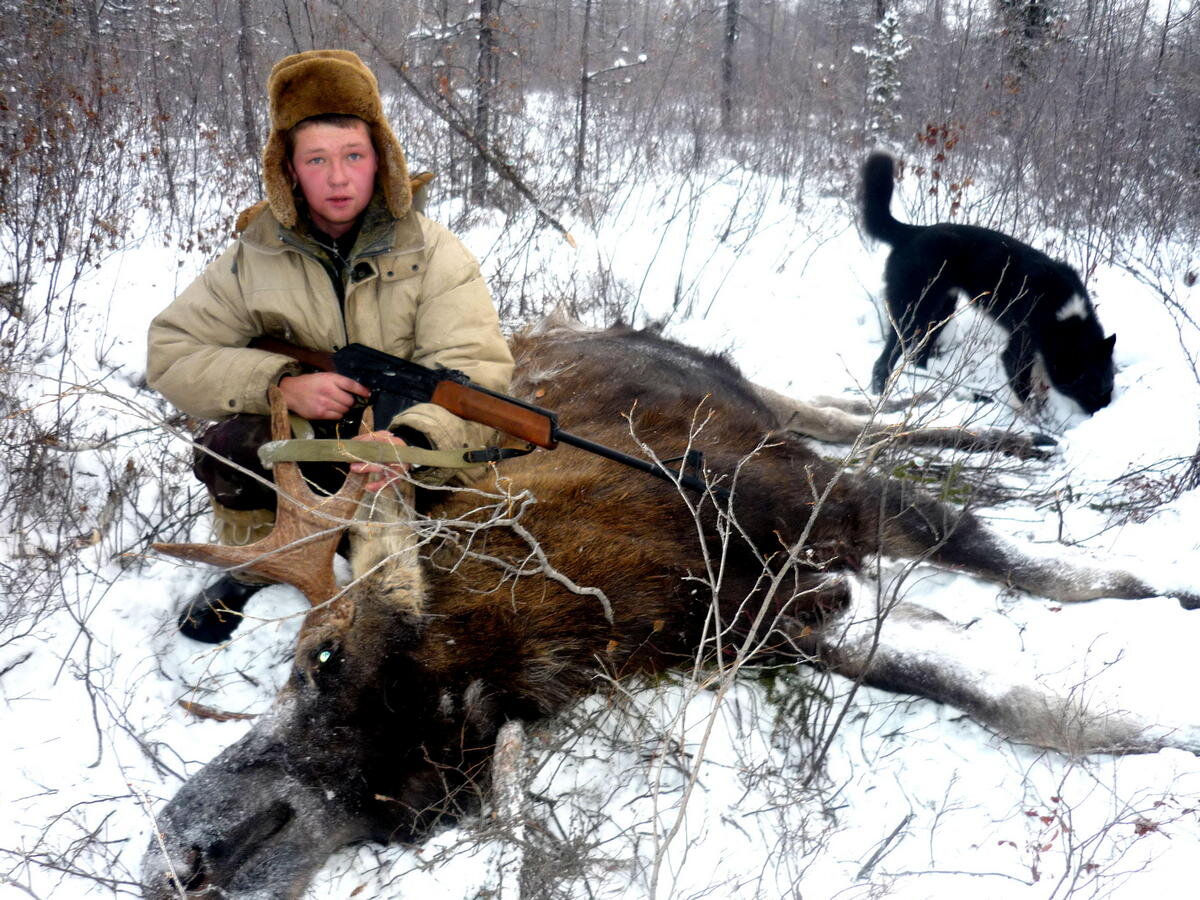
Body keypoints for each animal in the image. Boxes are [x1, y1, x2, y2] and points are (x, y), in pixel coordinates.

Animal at [142, 321, 1200, 900]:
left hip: (735, 393)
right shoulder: (771, 625)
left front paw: (1164, 597)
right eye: (406, 818)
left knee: (840, 413)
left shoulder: (814, 503)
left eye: (320, 657)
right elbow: (994, 696)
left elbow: (1036, 573)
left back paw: (1007, 437)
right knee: (843, 412)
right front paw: (1150, 730)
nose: (183, 860)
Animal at [864, 154, 1113, 415]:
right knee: (888, 355)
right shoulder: (1019, 347)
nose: (1104, 412)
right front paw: (1035, 412)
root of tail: (913, 232)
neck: (1063, 314)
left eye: (1109, 386)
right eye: (1091, 391)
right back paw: (881, 388)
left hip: (941, 310)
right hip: (912, 310)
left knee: (919, 352)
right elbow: (1021, 384)